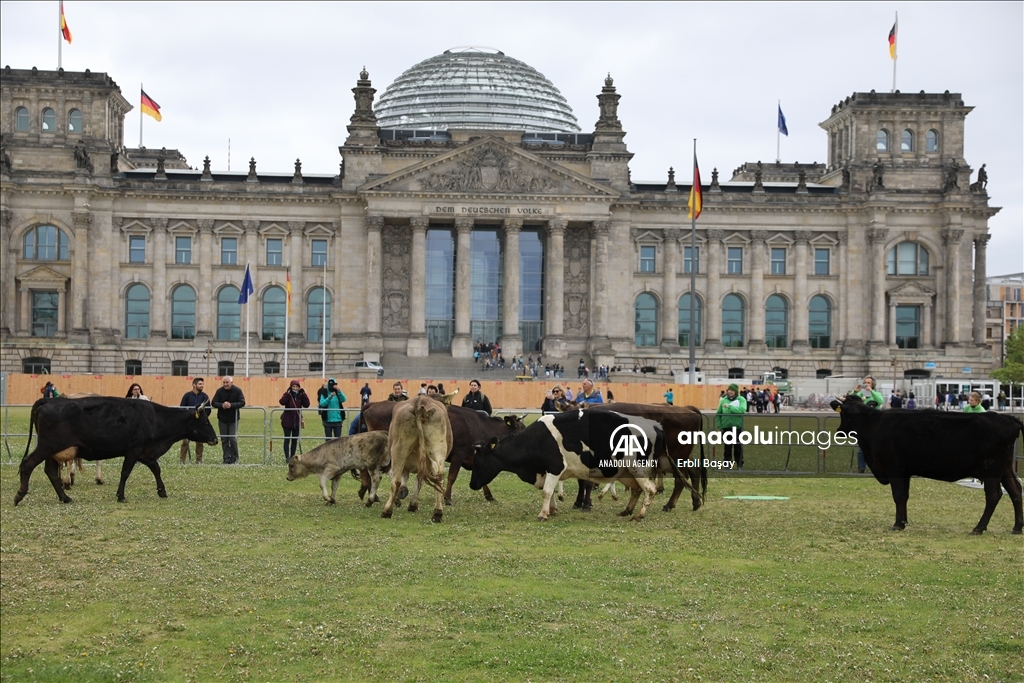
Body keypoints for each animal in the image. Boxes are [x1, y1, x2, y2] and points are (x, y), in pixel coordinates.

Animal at [14, 397, 219, 505]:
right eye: (205, 421)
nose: (215, 439)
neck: (154, 418)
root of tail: (50, 400)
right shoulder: (134, 450)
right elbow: (125, 472)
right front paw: (121, 495)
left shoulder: (145, 452)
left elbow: (156, 469)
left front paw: (162, 491)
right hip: (47, 446)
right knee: (28, 463)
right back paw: (20, 495)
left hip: (54, 451)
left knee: (50, 472)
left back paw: (65, 497)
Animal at [382, 395, 450, 524]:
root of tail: (420, 403)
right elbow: (419, 481)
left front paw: (411, 504)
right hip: (438, 447)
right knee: (439, 477)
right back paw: (437, 513)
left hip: (399, 449)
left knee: (396, 481)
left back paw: (387, 511)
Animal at [468, 405, 667, 524]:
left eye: (478, 461)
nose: (471, 484)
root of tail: (654, 426)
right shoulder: (546, 472)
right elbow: (549, 492)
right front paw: (552, 510)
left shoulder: (554, 467)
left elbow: (547, 491)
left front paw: (543, 514)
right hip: (626, 472)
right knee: (637, 490)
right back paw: (626, 511)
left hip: (638, 467)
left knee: (650, 489)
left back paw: (639, 515)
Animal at [831, 395, 1024, 532]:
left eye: (843, 412)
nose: (839, 431)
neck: (874, 425)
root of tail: (1009, 419)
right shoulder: (905, 471)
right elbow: (904, 496)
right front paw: (904, 521)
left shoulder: (894, 468)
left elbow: (898, 495)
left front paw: (897, 524)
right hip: (1005, 467)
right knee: (1015, 490)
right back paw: (1016, 527)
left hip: (991, 468)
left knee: (994, 495)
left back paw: (979, 528)